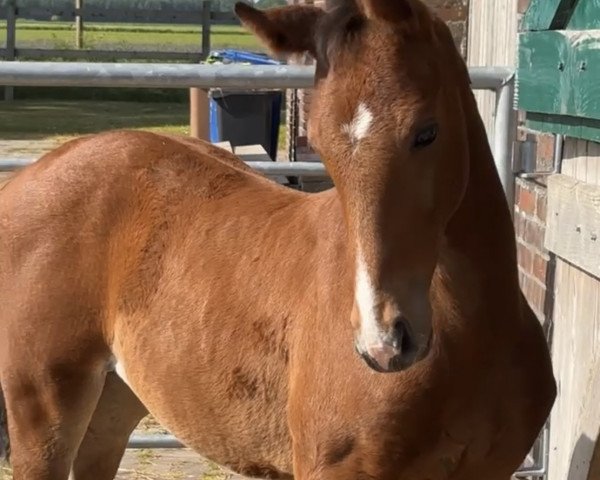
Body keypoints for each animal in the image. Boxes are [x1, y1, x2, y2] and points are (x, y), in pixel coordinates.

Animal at [0, 0, 556, 478]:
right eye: (323, 144)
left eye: (426, 132)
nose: (384, 343)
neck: (472, 335)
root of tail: (26, 178)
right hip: (43, 409)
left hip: (112, 406)